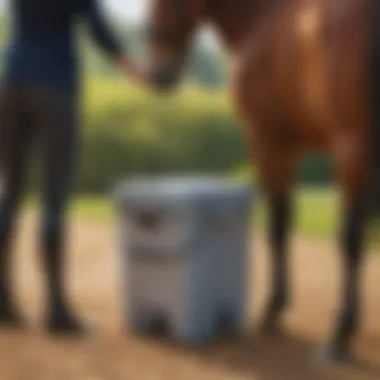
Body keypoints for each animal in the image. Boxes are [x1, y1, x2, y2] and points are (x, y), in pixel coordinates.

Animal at [143, 0, 378, 364]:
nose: (158, 74)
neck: (258, 19)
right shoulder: (291, 147)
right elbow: (285, 222)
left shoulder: (268, 141)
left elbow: (277, 226)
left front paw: (272, 312)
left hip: (353, 148)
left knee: (350, 238)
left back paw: (339, 335)